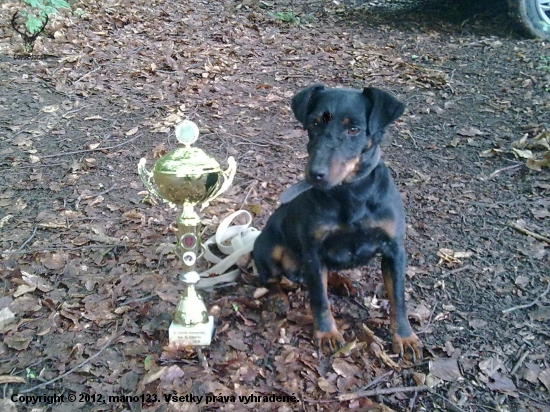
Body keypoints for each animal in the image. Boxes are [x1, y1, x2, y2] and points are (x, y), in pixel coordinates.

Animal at [252, 83, 424, 360]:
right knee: (270, 280)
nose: (315, 174)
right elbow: (320, 299)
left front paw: (405, 338)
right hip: (267, 247)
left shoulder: (394, 250)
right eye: (314, 123)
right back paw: (278, 298)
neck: (350, 193)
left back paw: (342, 282)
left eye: (354, 129)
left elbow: (398, 299)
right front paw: (327, 333)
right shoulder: (313, 251)